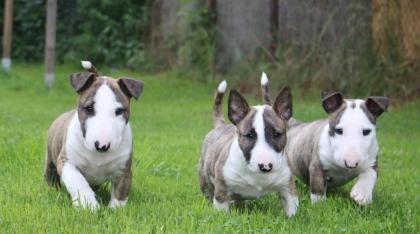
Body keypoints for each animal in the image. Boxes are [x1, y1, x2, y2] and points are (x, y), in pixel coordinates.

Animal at [43, 61, 144, 209]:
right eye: (89, 108)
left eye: (119, 111)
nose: (102, 145)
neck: (98, 156)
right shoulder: (66, 161)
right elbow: (77, 181)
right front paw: (88, 204)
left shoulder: (124, 168)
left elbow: (121, 191)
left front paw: (115, 209)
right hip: (50, 159)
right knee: (51, 176)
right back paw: (52, 190)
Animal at [198, 80, 298, 218]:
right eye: (249, 135)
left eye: (277, 134)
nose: (265, 166)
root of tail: (221, 125)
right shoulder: (222, 191)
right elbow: (222, 211)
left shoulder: (288, 187)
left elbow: (291, 208)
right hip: (204, 178)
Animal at [260, 72, 388, 205]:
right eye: (339, 130)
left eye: (366, 132)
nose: (351, 163)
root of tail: (293, 122)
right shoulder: (317, 163)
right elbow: (318, 185)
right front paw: (319, 204)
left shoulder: (372, 160)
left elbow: (370, 174)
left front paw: (362, 195)